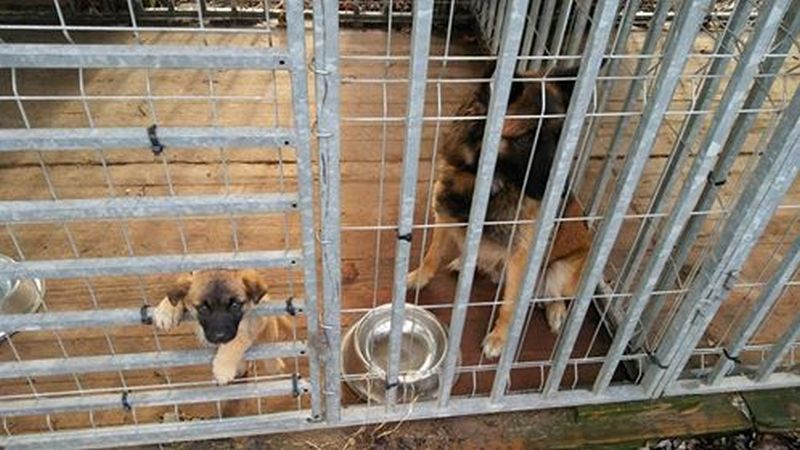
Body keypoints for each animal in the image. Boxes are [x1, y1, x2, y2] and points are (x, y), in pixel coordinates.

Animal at [152, 269, 291, 385]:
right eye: (203, 308)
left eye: (235, 305)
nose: (220, 336)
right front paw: (166, 311)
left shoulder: (254, 318)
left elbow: (237, 340)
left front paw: (223, 368)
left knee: (271, 360)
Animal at [406, 66, 592, 359]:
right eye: (526, 139)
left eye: (561, 138)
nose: (564, 193)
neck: (487, 184)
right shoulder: (444, 213)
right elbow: (432, 254)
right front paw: (419, 276)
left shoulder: (520, 254)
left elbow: (509, 304)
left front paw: (499, 338)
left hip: (561, 270)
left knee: (557, 295)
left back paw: (556, 311)